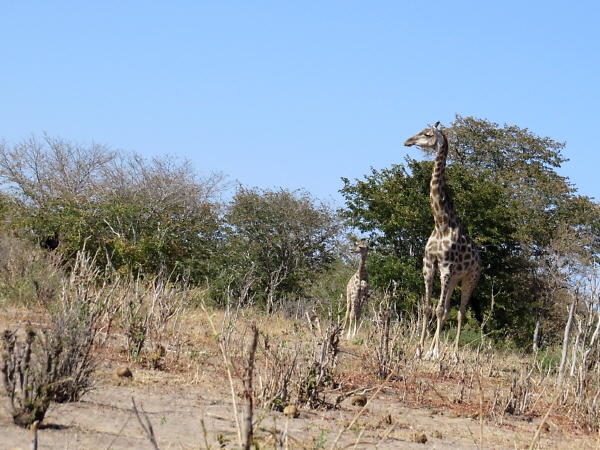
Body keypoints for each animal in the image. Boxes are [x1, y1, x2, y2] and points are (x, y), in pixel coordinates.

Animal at [404, 122, 482, 358]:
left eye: (427, 134)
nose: (408, 141)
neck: (440, 223)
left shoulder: (446, 267)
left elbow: (438, 310)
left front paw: (436, 352)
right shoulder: (429, 265)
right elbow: (428, 308)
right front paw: (420, 349)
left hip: (469, 279)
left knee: (461, 313)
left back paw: (454, 354)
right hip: (455, 278)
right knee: (448, 310)